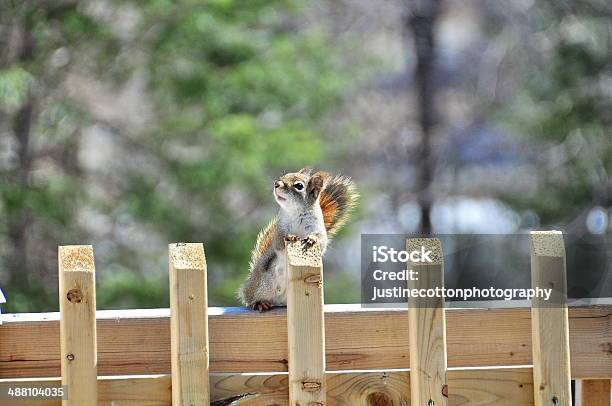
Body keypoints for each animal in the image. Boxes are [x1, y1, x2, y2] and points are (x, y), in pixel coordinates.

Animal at [237, 167, 356, 312]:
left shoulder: (318, 228)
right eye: (283, 176)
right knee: (252, 299)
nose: (276, 184)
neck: (296, 211)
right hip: (261, 284)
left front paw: (312, 239)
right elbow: (278, 241)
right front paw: (291, 237)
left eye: (299, 186)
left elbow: (321, 241)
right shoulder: (279, 229)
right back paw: (260, 302)